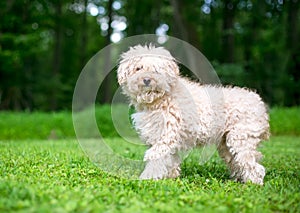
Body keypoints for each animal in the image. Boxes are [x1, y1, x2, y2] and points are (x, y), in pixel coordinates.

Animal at [116, 45, 270, 185]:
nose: (147, 80)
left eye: (156, 70)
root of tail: (260, 104)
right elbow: (170, 160)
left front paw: (147, 178)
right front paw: (170, 176)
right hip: (226, 144)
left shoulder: (166, 137)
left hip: (240, 139)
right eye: (138, 68)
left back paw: (253, 184)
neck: (161, 98)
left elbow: (156, 158)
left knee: (255, 167)